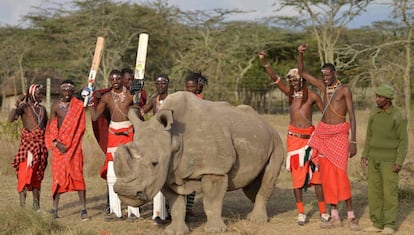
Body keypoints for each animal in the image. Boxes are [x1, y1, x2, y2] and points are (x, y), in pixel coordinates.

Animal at [113, 91, 284, 234]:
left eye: (154, 163)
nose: (125, 192)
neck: (174, 138)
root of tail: (264, 122)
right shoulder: (167, 173)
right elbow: (176, 204)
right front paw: (175, 231)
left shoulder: (214, 168)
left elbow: (211, 200)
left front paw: (215, 230)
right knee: (250, 185)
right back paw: (254, 214)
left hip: (276, 139)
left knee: (268, 177)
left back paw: (257, 220)